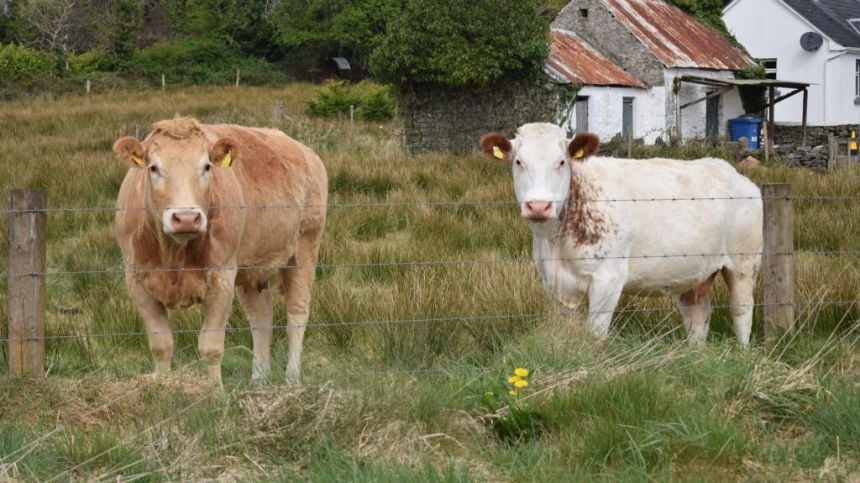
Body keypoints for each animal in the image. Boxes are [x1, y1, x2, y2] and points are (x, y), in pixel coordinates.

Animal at [112, 118, 328, 386]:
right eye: (153, 167)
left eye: (206, 166)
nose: (186, 218)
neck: (173, 253)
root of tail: (304, 150)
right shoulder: (136, 280)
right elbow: (161, 345)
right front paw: (163, 386)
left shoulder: (222, 277)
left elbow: (211, 347)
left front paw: (215, 392)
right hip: (251, 267)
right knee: (261, 317)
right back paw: (258, 380)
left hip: (305, 248)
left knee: (297, 312)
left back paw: (292, 378)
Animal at [480, 124, 764, 344]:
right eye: (519, 162)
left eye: (561, 162)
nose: (539, 206)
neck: (555, 241)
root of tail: (728, 169)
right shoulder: (556, 284)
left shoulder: (608, 279)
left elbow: (595, 333)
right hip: (695, 271)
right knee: (698, 313)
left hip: (743, 263)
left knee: (741, 310)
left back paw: (742, 352)